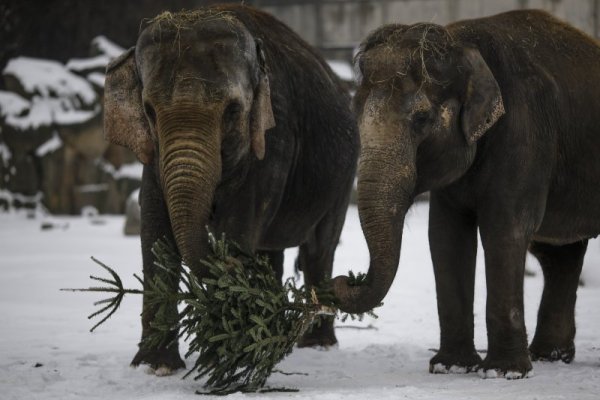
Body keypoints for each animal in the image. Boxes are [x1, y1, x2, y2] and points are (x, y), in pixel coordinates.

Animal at [103, 5, 358, 376]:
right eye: (149, 111)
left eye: (233, 110)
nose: (231, 263)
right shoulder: (153, 154)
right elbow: (155, 229)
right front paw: (156, 367)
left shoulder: (274, 138)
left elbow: (238, 223)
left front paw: (223, 356)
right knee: (271, 251)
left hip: (343, 177)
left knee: (318, 248)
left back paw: (316, 344)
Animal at [332, 8, 600, 378]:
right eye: (355, 114)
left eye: (421, 118)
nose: (344, 279)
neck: (463, 43)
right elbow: (446, 236)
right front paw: (451, 366)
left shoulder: (524, 135)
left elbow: (505, 231)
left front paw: (503, 372)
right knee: (559, 255)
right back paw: (550, 356)